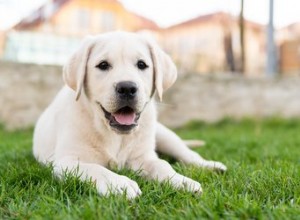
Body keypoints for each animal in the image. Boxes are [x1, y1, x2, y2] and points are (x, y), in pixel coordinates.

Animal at [32, 30, 226, 198]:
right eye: (103, 65)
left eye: (142, 64)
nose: (127, 88)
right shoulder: (66, 162)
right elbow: (95, 168)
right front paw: (119, 184)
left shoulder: (143, 157)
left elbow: (162, 165)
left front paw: (180, 181)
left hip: (164, 134)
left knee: (187, 154)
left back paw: (209, 165)